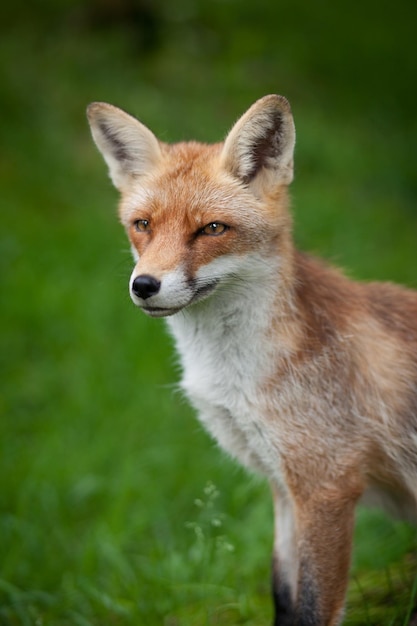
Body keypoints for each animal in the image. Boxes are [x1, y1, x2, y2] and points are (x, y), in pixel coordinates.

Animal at [86, 94, 414, 624]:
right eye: (143, 225)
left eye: (212, 229)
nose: (144, 285)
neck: (235, 378)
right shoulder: (283, 486)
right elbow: (283, 595)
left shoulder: (327, 487)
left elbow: (313, 608)